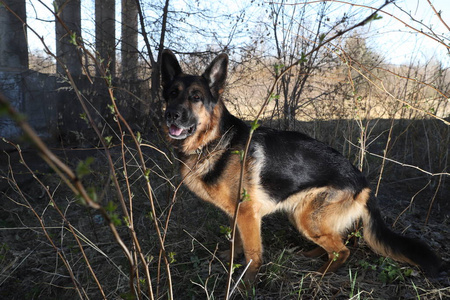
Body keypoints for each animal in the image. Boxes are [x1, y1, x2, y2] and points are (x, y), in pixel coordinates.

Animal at [160, 49, 442, 286]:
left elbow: (252, 253)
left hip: (306, 217)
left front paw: (246, 284)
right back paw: (314, 254)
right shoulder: (236, 214)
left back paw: (321, 274)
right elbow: (236, 243)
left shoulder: (248, 214)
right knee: (336, 242)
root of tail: (363, 182)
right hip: (304, 216)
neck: (215, 140)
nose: (171, 115)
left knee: (343, 250)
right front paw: (230, 263)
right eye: (172, 94)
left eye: (196, 97)